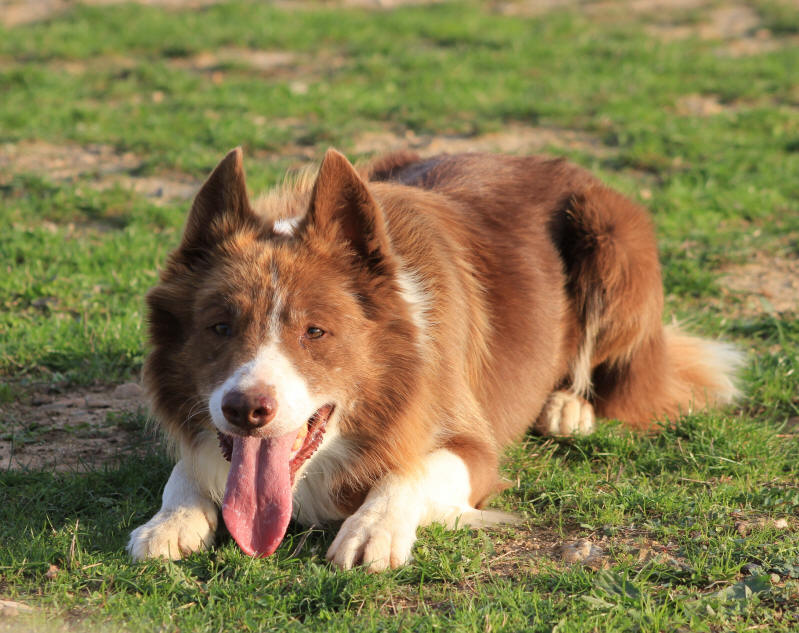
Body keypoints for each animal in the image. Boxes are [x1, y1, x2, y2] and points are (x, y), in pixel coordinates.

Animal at [126, 147, 744, 568]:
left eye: (315, 331)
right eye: (220, 327)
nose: (245, 410)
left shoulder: (474, 448)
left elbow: (413, 469)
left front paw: (372, 528)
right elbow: (189, 465)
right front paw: (169, 521)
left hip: (611, 243)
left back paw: (569, 408)